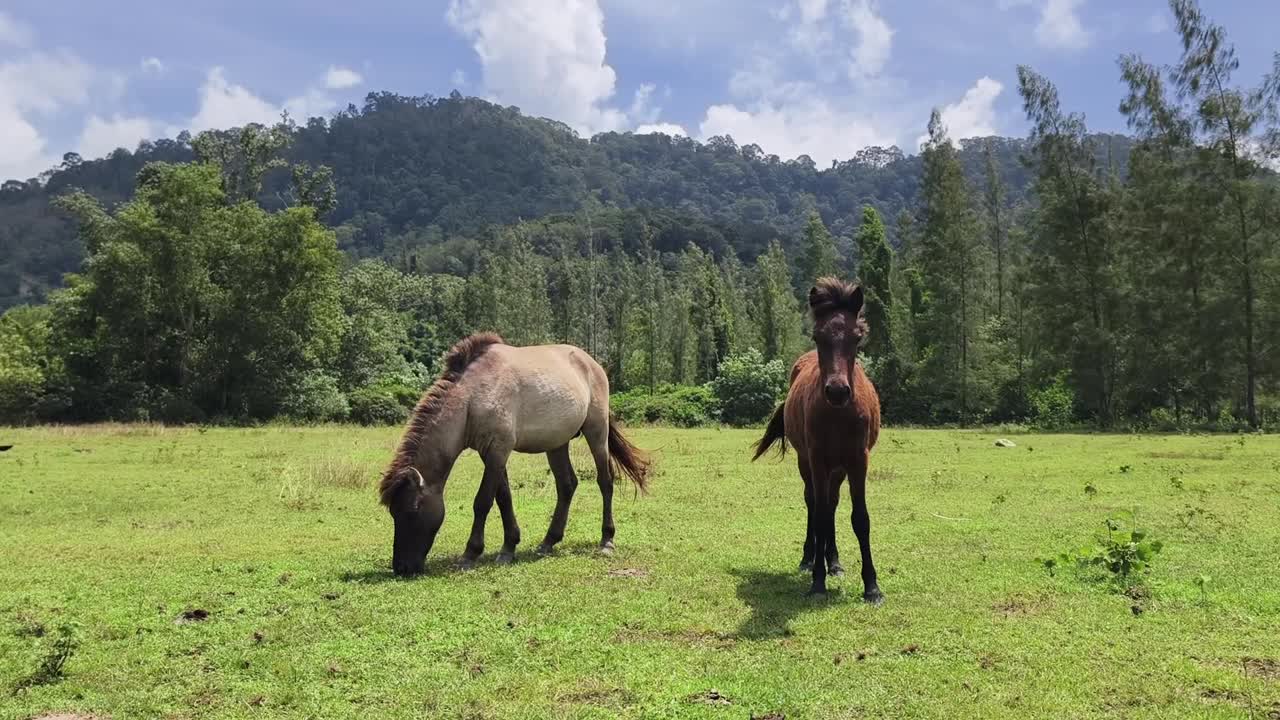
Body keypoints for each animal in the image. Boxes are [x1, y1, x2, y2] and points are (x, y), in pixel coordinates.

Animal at [378, 332, 650, 577]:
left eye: (412, 510)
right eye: (393, 511)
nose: (402, 568)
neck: (472, 397)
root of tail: (593, 364)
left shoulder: (498, 450)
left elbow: (483, 502)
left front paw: (471, 553)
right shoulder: (492, 454)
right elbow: (503, 499)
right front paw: (508, 548)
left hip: (597, 432)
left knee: (605, 482)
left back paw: (606, 540)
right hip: (557, 443)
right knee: (567, 485)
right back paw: (548, 541)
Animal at [752, 278, 883, 602]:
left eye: (857, 337)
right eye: (817, 336)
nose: (837, 391)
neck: (838, 414)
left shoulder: (858, 461)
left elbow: (860, 518)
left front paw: (872, 586)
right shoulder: (817, 459)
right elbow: (820, 515)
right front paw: (817, 582)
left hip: (838, 469)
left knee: (832, 504)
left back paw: (833, 560)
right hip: (808, 463)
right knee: (814, 503)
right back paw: (810, 558)